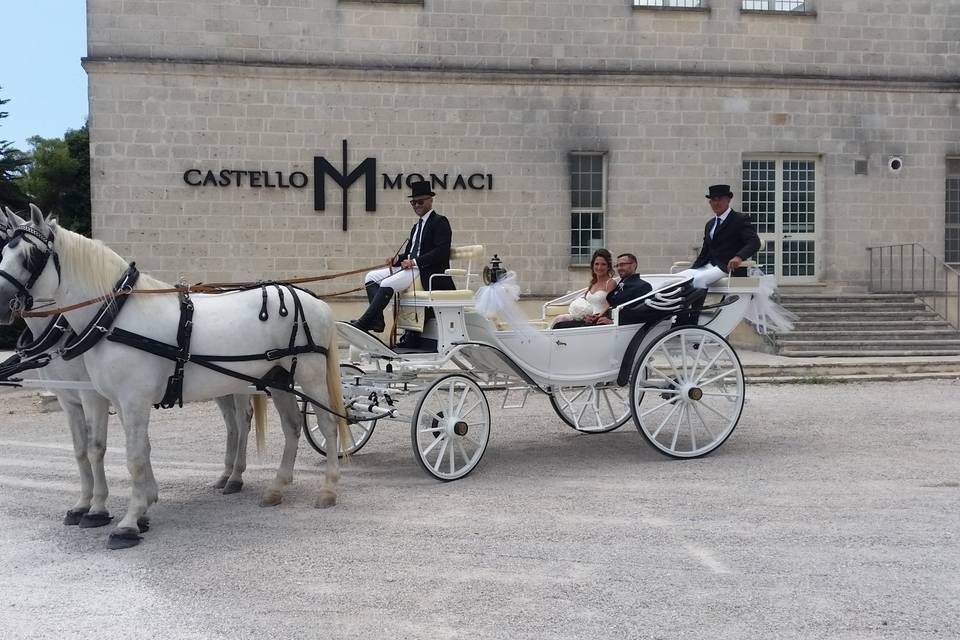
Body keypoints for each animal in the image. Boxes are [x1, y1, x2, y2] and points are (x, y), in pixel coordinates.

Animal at [0, 206, 344, 552]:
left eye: (31, 256)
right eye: (4, 250)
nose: (1, 303)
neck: (114, 316)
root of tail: (314, 300)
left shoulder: (125, 400)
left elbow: (131, 457)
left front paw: (124, 522)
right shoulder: (113, 402)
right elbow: (128, 449)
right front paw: (139, 509)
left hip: (310, 377)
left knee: (327, 425)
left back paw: (328, 488)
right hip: (278, 379)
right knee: (289, 426)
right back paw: (276, 487)